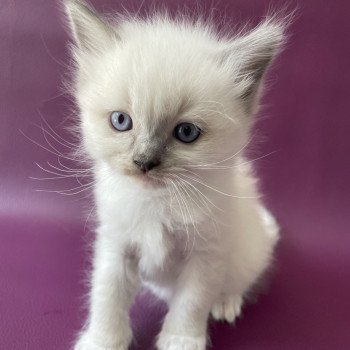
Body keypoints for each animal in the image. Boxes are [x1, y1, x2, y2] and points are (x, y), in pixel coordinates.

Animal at [64, 0, 286, 350]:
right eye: (120, 121)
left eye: (186, 133)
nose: (143, 162)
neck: (159, 202)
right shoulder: (116, 246)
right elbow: (107, 298)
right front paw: (101, 341)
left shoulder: (206, 255)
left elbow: (191, 304)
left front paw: (181, 340)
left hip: (247, 252)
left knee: (237, 282)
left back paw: (226, 303)